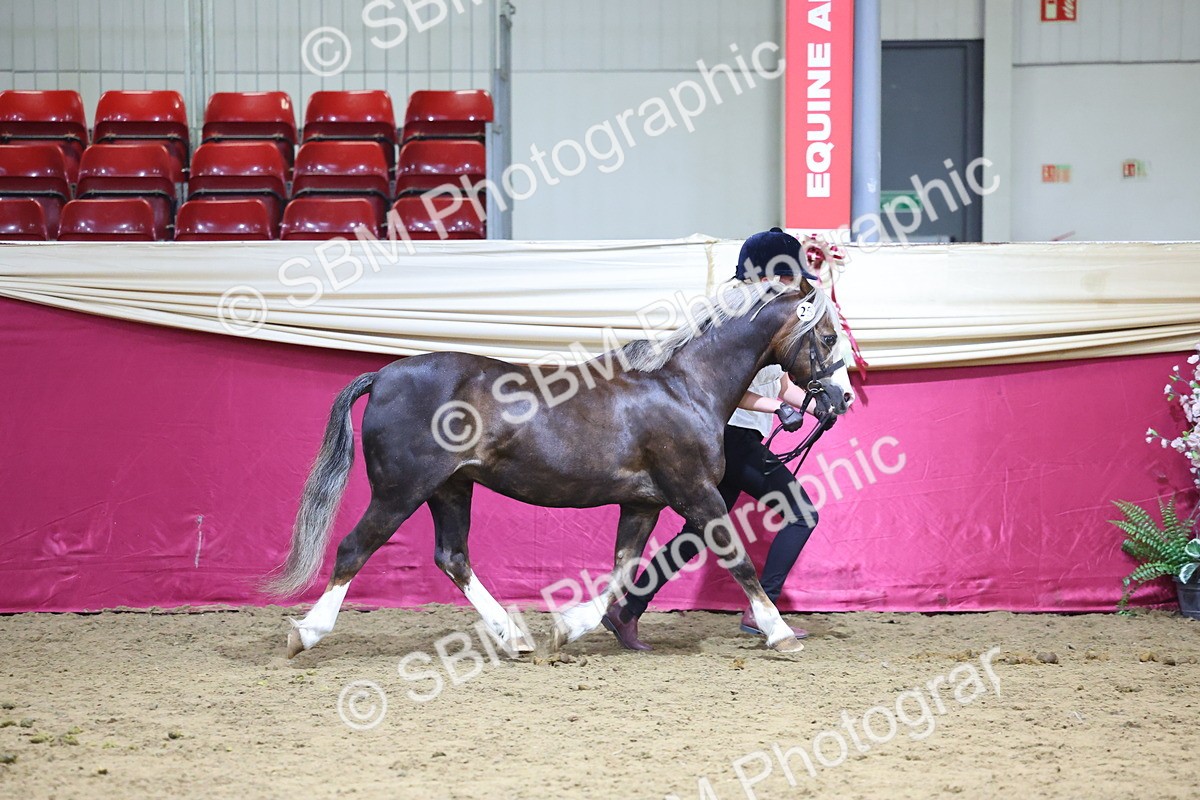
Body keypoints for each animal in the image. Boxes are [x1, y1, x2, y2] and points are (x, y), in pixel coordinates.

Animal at [267, 274, 854, 658]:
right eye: (827, 337)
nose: (841, 399)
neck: (686, 388)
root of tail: (384, 375)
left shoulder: (642, 503)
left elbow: (622, 570)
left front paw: (569, 628)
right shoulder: (697, 493)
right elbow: (738, 559)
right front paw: (779, 633)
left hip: (451, 488)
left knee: (453, 557)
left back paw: (514, 638)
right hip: (401, 491)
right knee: (354, 549)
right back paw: (306, 634)